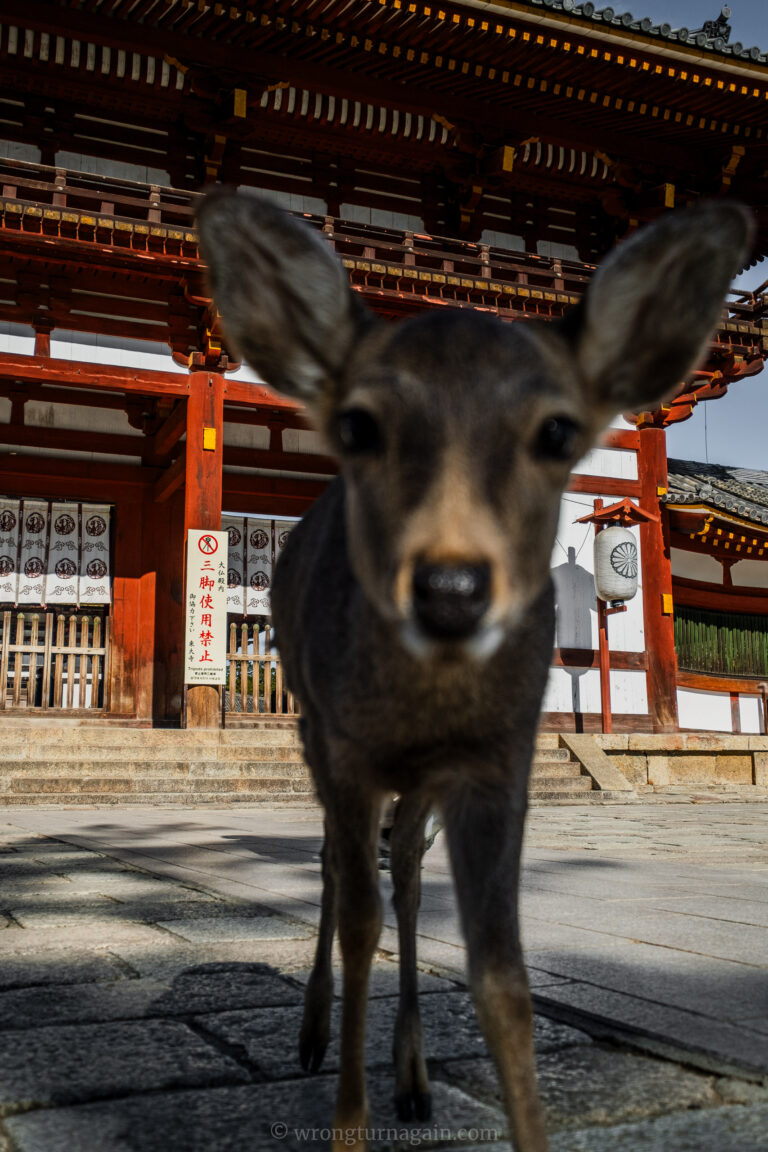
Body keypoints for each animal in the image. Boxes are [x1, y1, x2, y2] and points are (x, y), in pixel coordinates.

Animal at [196, 193, 751, 1152]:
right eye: (358, 425)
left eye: (558, 431)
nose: (451, 589)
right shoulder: (344, 749)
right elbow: (358, 922)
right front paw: (348, 1123)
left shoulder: (501, 760)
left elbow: (504, 976)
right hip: (315, 733)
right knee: (340, 872)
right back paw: (312, 1035)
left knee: (411, 881)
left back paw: (415, 1079)